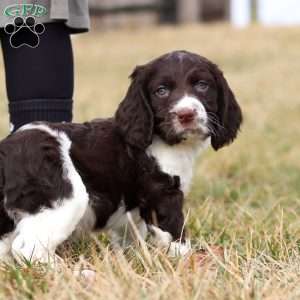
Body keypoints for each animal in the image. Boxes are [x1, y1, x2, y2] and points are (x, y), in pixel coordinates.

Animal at [0, 50, 241, 264]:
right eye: (161, 91)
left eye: (202, 85)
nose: (186, 114)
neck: (160, 138)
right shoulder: (162, 194)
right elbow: (174, 234)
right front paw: (188, 263)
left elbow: (131, 239)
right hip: (65, 197)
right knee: (27, 248)